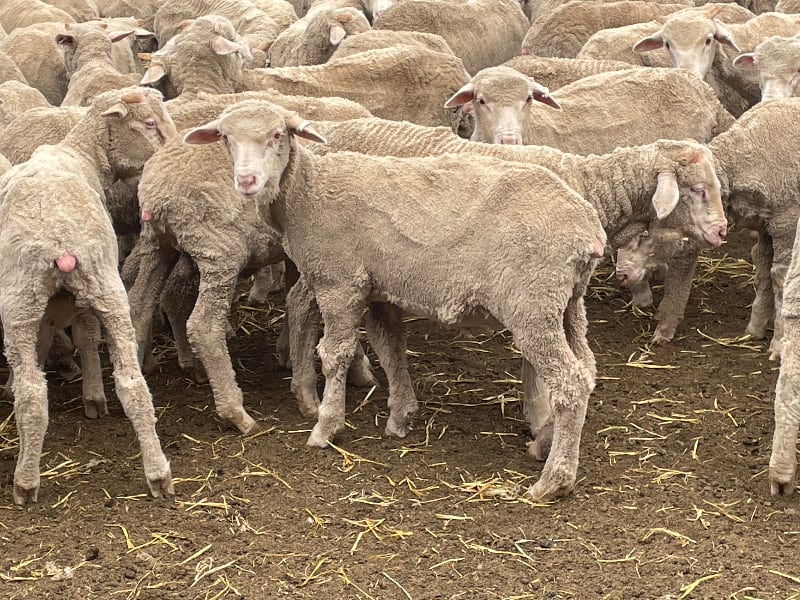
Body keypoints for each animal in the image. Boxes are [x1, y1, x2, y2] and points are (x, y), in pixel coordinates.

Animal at [0, 87, 176, 505]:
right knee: (132, 384)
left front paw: (92, 396)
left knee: (33, 395)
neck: (78, 153)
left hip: (20, 303)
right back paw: (158, 474)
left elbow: (81, 337)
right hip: (105, 289)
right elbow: (79, 338)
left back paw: (25, 482)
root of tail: (61, 240)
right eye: (150, 123)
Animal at [126, 90, 375, 435]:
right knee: (203, 326)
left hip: (158, 244)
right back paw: (236, 412)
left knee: (139, 305)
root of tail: (158, 190)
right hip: (219, 251)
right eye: (226, 138)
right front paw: (357, 369)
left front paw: (288, 352)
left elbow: (296, 302)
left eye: (276, 135)